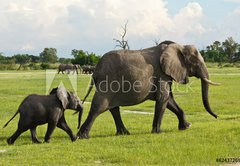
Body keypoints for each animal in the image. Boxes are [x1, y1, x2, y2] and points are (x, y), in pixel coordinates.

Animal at [77, 40, 219, 138]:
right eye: (196, 63)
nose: (217, 116)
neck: (179, 46)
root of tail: (95, 70)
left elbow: (169, 100)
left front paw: (187, 127)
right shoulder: (162, 74)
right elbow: (163, 99)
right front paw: (158, 132)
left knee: (113, 108)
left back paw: (124, 133)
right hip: (108, 82)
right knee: (99, 106)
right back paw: (82, 136)